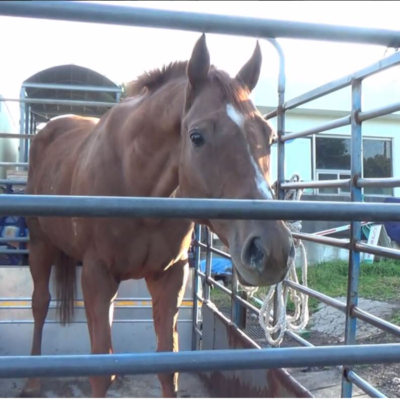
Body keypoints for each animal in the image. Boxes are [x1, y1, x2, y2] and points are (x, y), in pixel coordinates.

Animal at [23, 36, 296, 398]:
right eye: (196, 137)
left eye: (268, 135)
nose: (272, 250)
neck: (134, 180)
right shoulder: (97, 276)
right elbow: (99, 371)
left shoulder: (170, 277)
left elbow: (168, 366)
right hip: (40, 245)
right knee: (40, 303)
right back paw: (32, 379)